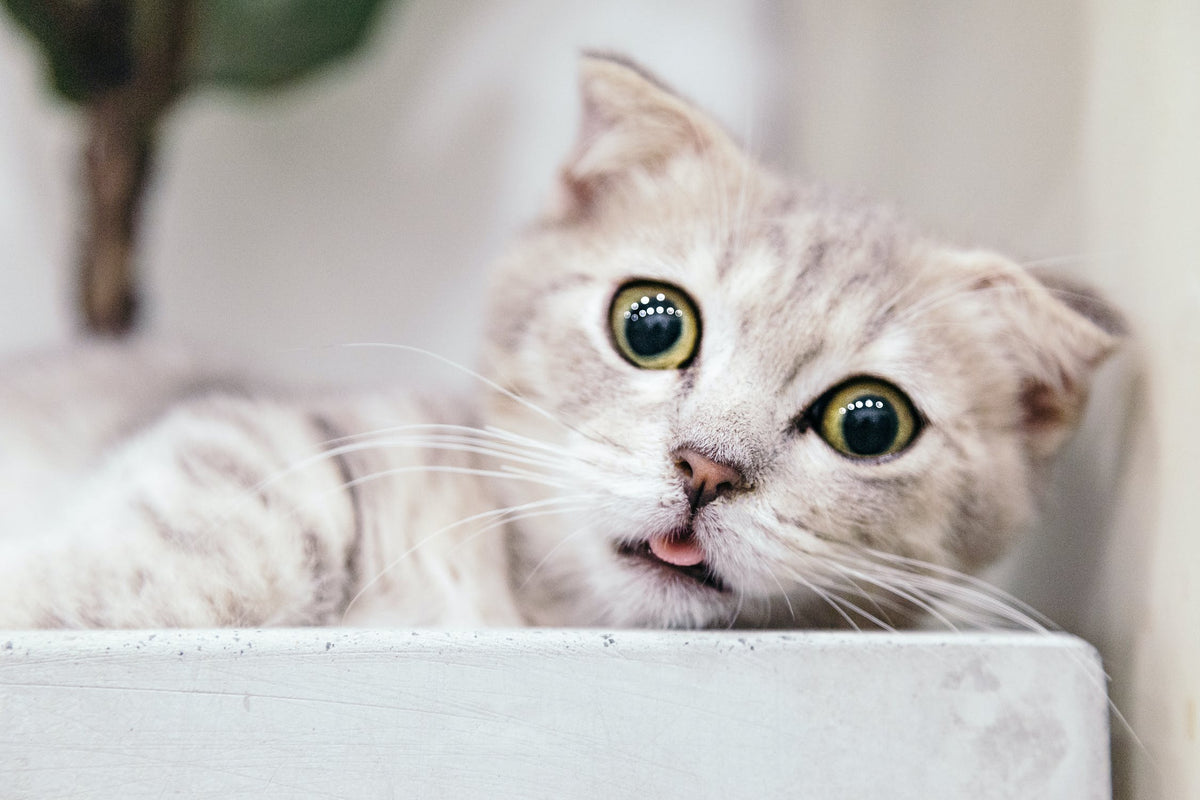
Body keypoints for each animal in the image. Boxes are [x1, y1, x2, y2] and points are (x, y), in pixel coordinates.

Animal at [0, 56, 1123, 633]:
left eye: (871, 422)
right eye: (653, 324)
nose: (705, 468)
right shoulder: (272, 427)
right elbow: (245, 528)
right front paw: (44, 591)